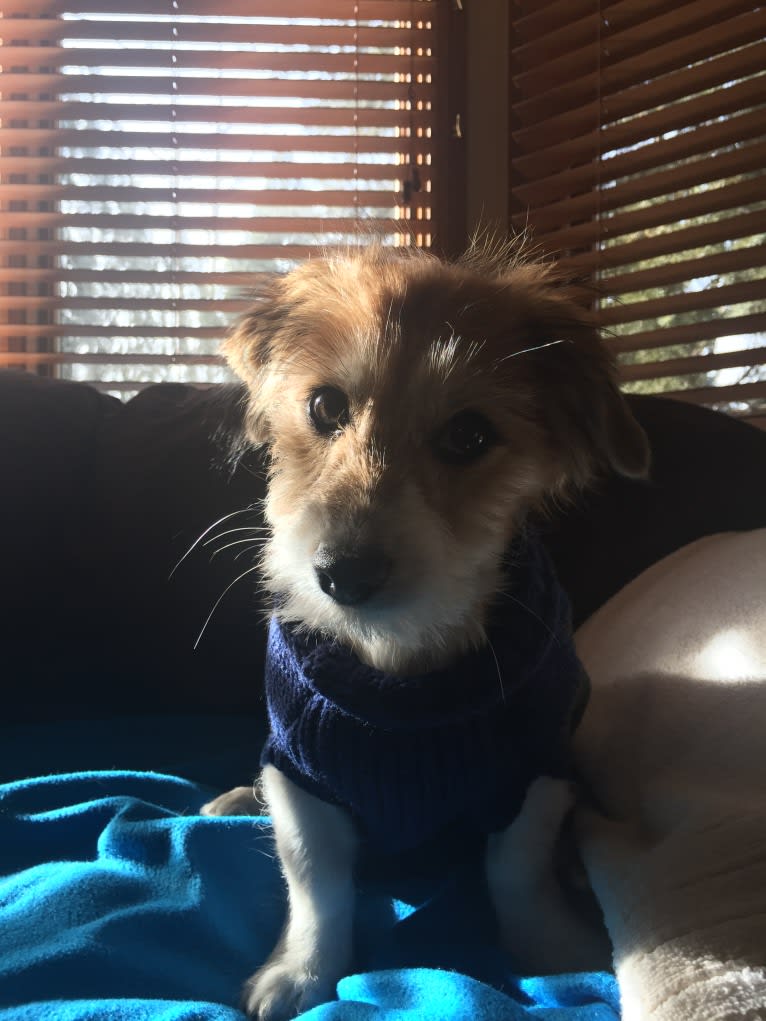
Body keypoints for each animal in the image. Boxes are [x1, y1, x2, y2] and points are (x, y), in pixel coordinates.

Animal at [201, 242, 649, 1016]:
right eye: (325, 406)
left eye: (469, 435)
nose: (343, 575)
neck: (398, 664)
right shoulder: (300, 777)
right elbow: (316, 882)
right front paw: (303, 971)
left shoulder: (537, 769)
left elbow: (518, 871)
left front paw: (553, 950)